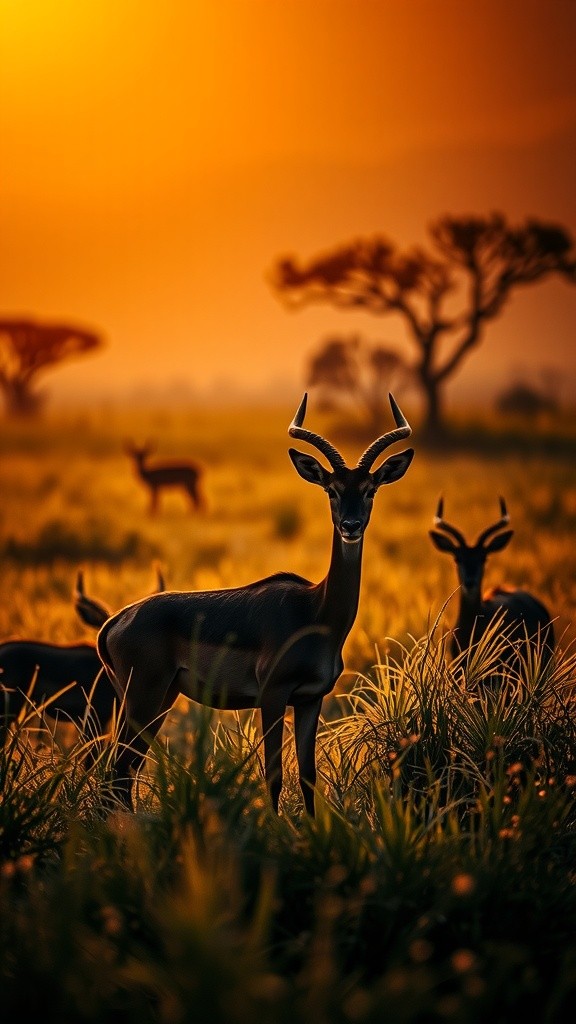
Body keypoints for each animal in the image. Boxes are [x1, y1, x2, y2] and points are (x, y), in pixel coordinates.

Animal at [97, 393, 414, 816]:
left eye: (370, 489)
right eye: (331, 489)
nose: (350, 525)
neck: (316, 612)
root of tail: (117, 620)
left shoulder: (311, 699)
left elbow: (308, 776)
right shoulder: (274, 696)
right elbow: (274, 775)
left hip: (158, 699)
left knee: (123, 771)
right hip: (143, 698)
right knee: (117, 769)